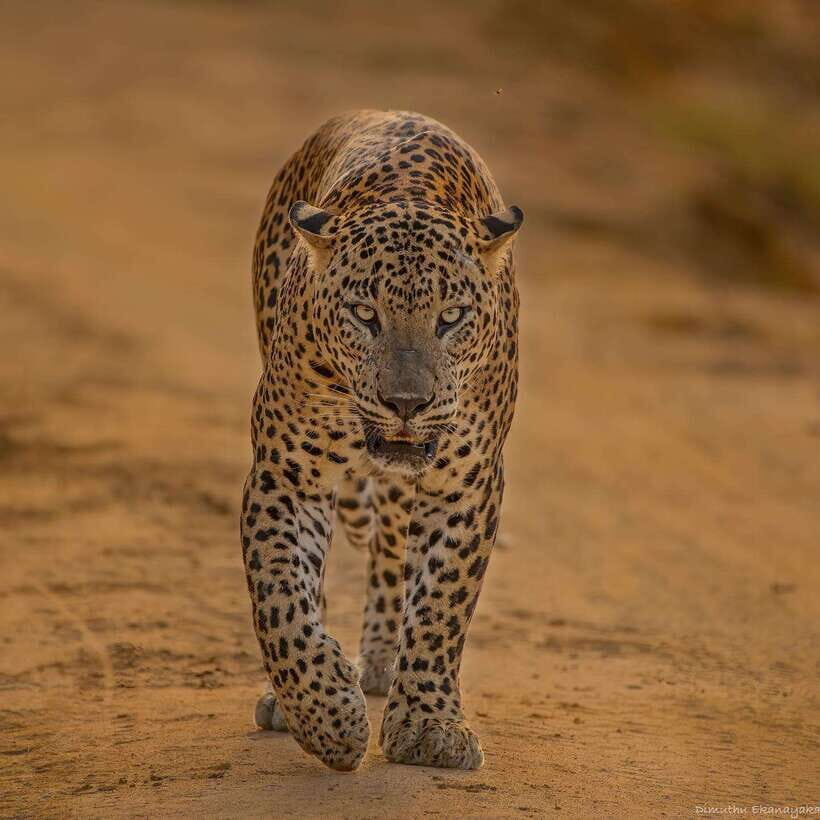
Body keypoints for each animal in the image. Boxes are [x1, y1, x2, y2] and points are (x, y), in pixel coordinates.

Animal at [242, 109, 523, 771]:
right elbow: (280, 596)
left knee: (392, 555)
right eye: (365, 315)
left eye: (451, 317)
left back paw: (379, 662)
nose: (406, 404)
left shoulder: (467, 485)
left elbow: (442, 603)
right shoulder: (285, 474)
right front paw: (326, 718)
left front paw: (428, 725)